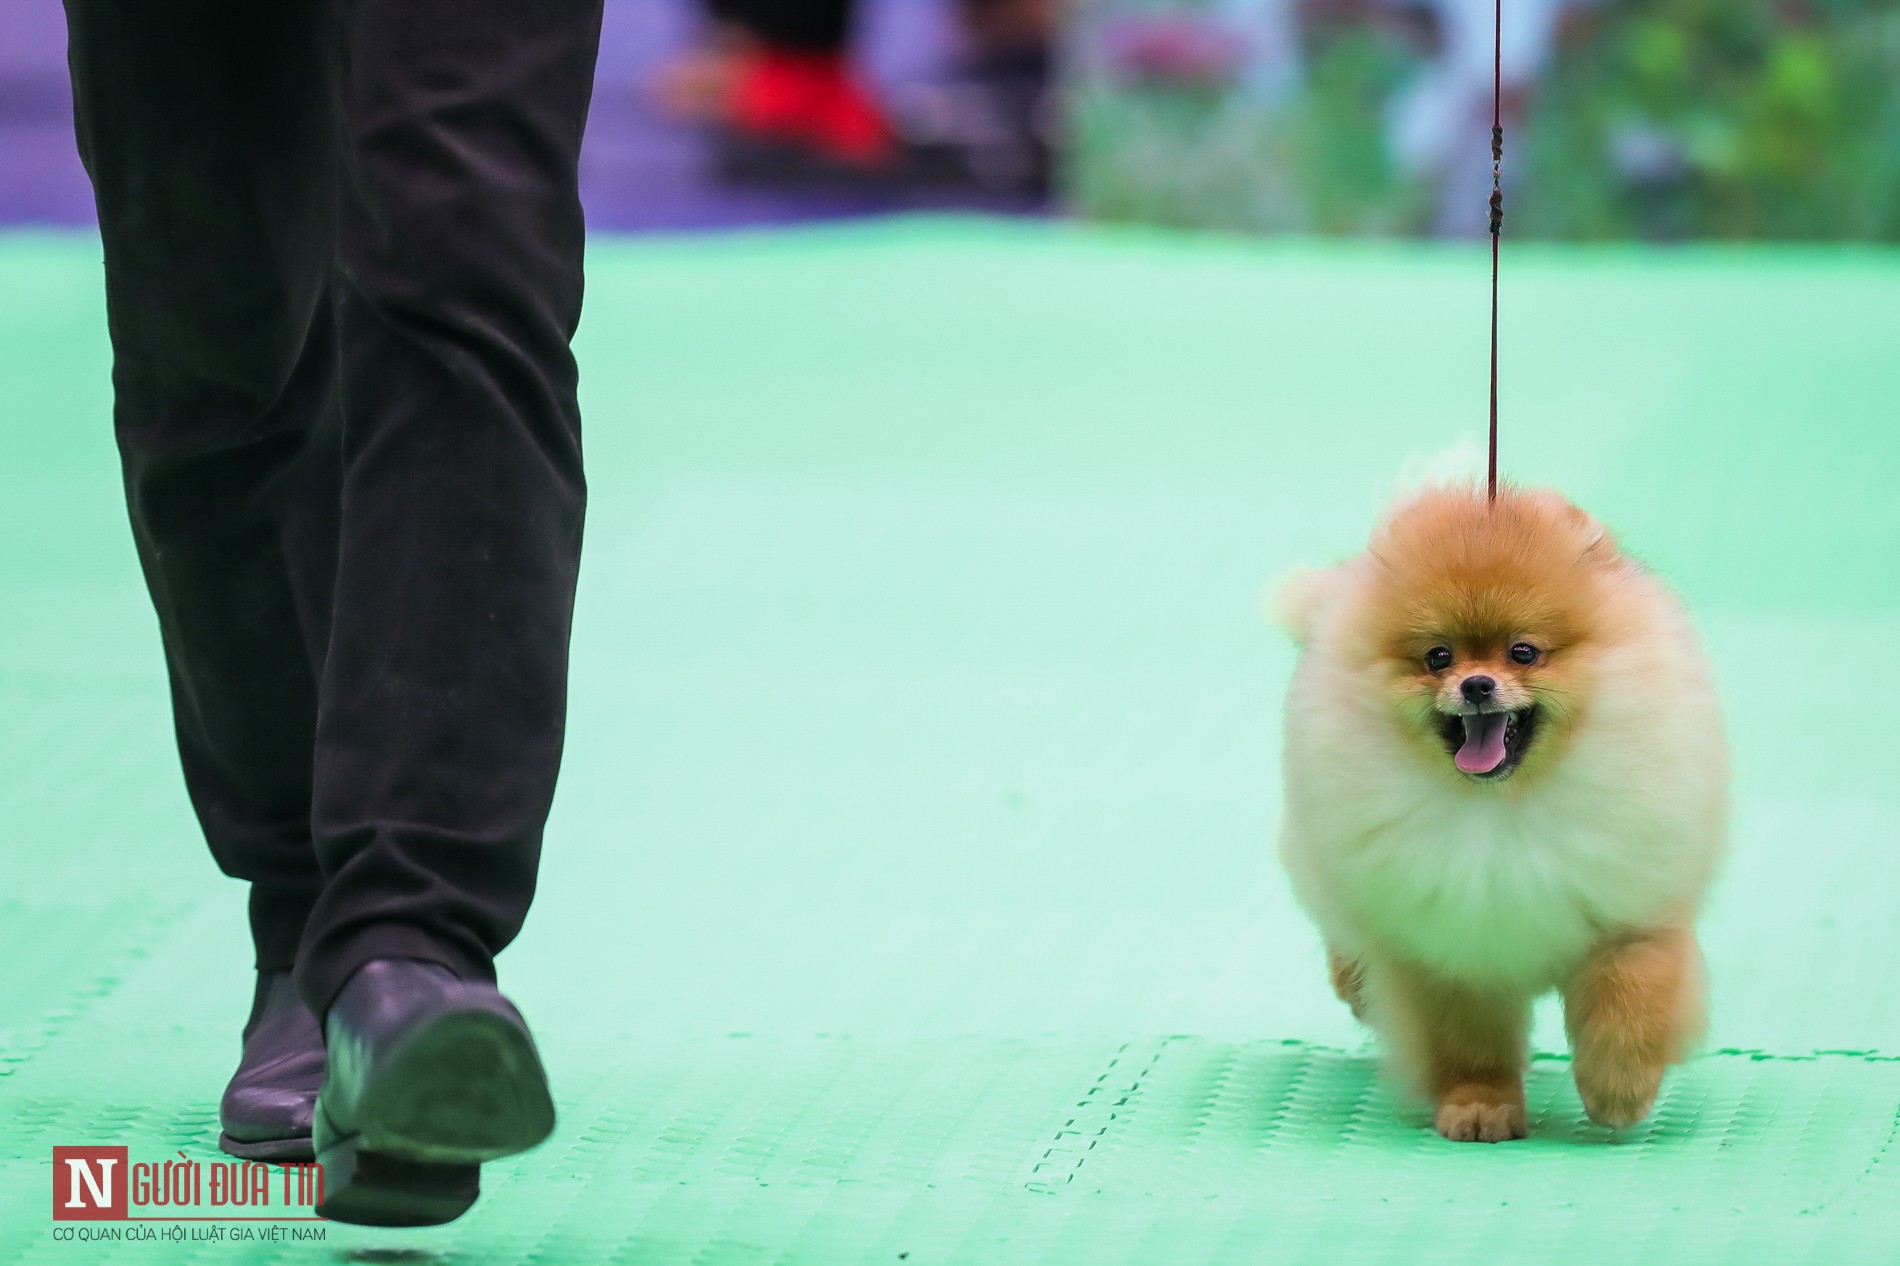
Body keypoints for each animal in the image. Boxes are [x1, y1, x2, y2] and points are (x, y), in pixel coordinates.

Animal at [1269, 479, 1732, 1140]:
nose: (1477, 684)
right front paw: (1480, 1107)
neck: (1505, 806)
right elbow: (1469, 1045)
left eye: (1523, 652)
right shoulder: (1455, 951)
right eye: (1438, 657)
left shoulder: (1631, 911)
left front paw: (1618, 1090)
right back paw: (1354, 983)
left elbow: (1630, 999)